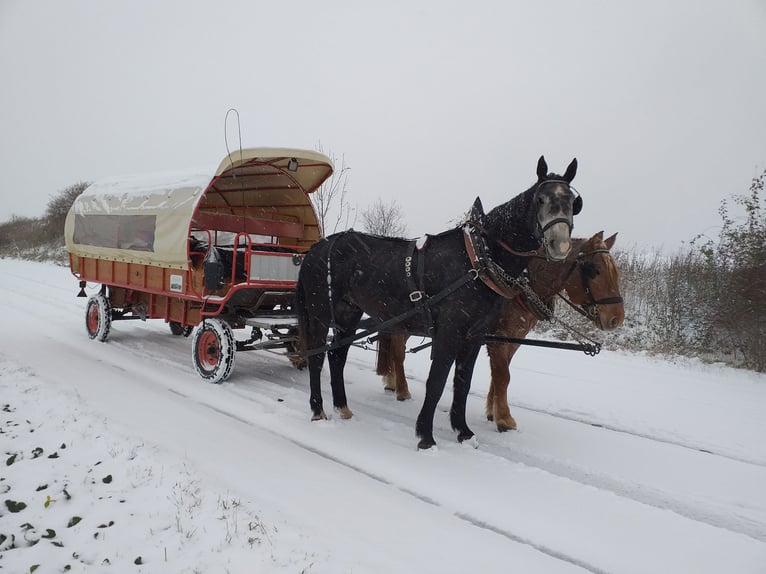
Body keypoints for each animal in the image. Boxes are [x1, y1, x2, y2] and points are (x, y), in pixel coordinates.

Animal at [376, 232, 624, 430]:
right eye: (595, 270)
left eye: (616, 273)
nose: (616, 318)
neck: (519, 286)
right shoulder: (496, 338)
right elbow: (503, 375)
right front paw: (505, 419)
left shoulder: (512, 339)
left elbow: (499, 375)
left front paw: (492, 410)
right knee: (398, 350)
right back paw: (401, 389)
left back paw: (392, 382)